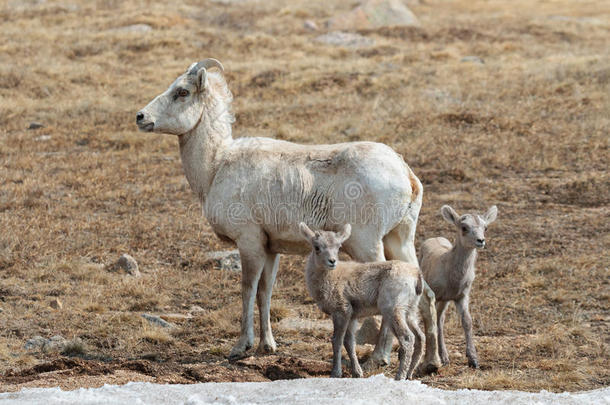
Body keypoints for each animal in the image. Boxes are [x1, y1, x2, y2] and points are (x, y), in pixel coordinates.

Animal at [300, 221, 422, 378]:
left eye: (338, 247)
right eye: (317, 247)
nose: (332, 261)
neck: (331, 278)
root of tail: (416, 276)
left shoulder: (341, 310)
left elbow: (337, 341)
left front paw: (336, 373)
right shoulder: (352, 315)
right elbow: (349, 343)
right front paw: (357, 373)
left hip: (393, 308)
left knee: (407, 338)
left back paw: (399, 376)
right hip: (411, 310)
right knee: (420, 338)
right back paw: (410, 374)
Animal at [418, 204, 498, 368]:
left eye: (485, 227)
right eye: (464, 227)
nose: (481, 240)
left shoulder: (462, 295)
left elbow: (467, 321)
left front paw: (473, 360)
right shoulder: (436, 295)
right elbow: (433, 321)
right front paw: (436, 358)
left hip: (446, 300)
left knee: (441, 319)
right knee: (437, 319)